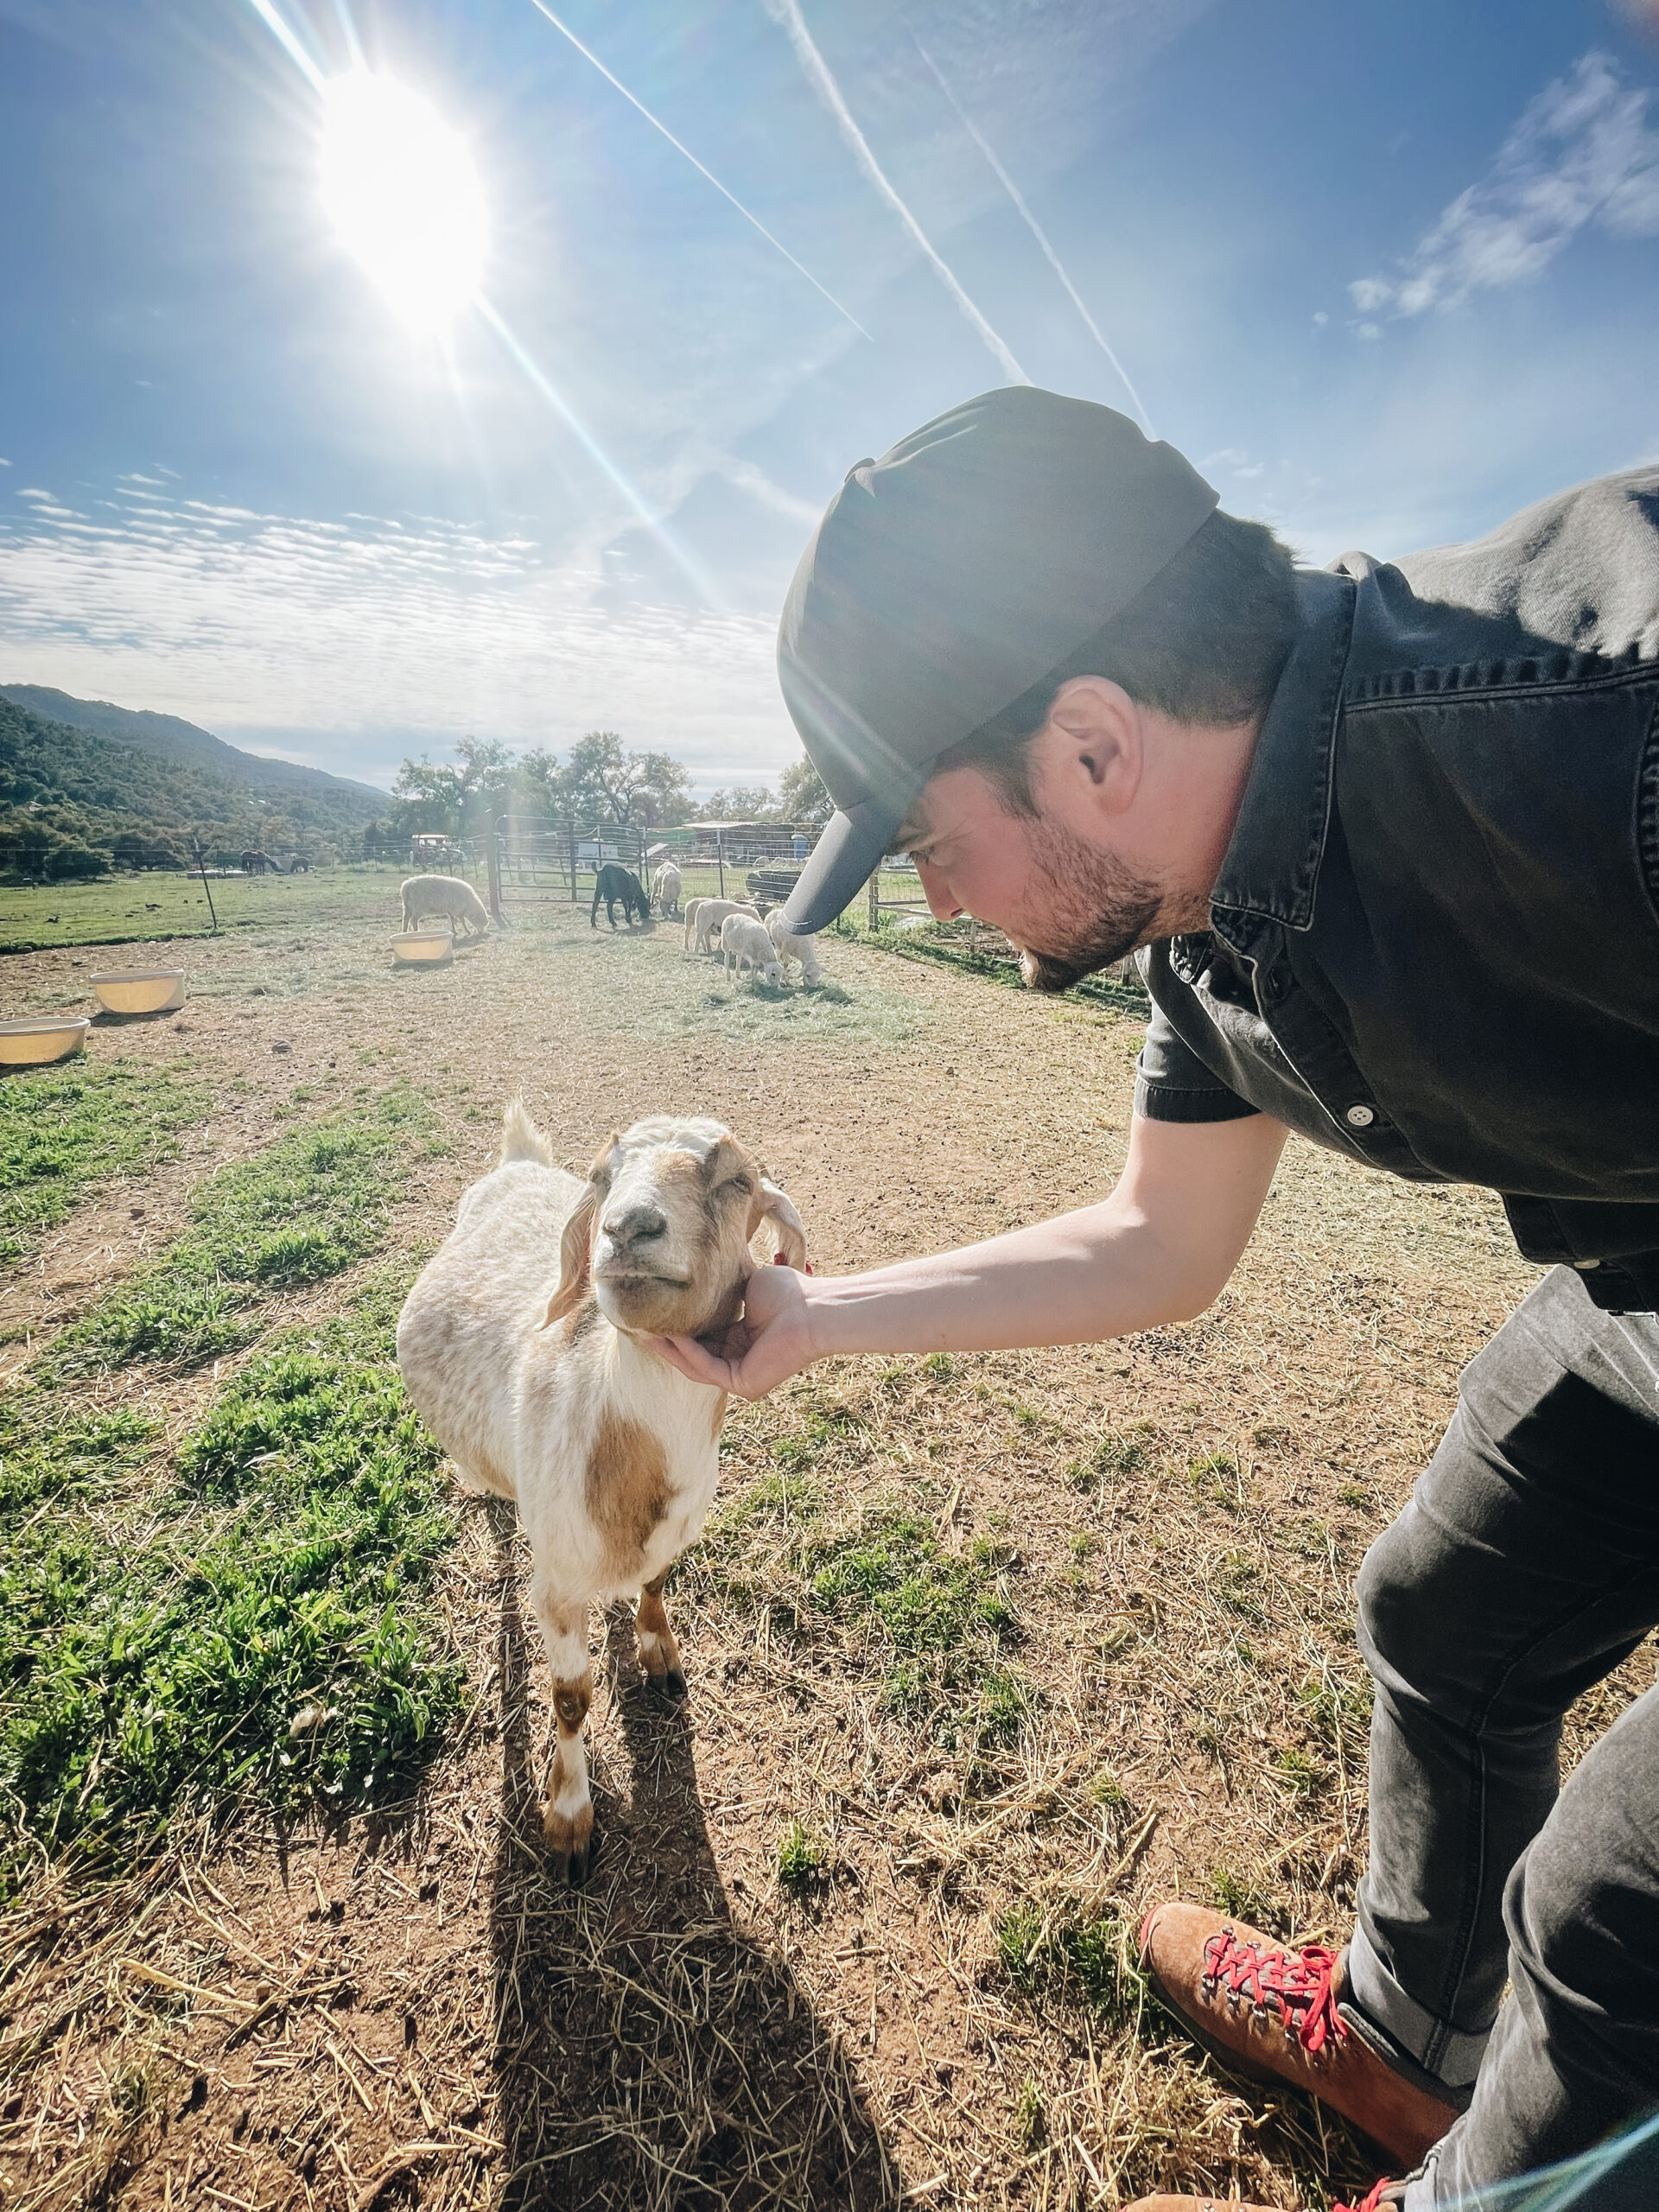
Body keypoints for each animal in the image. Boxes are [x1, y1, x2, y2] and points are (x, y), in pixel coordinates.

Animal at [389, 1096, 804, 1875]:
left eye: (738, 1182)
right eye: (604, 1176)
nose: (626, 1227)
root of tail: (519, 1160)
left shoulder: (674, 1530)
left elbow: (656, 1583)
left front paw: (658, 1653)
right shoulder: (554, 1584)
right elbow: (571, 1699)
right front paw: (569, 1820)